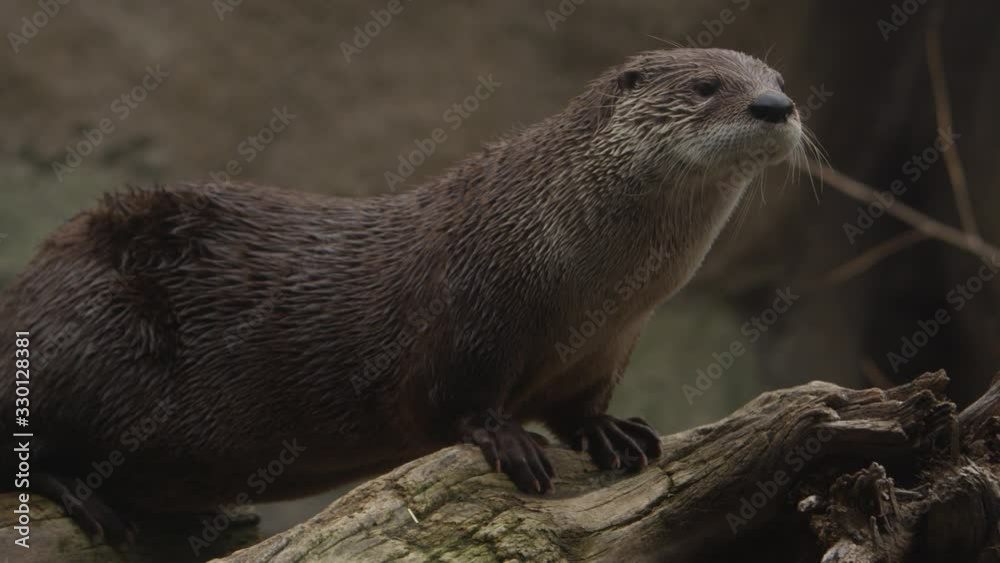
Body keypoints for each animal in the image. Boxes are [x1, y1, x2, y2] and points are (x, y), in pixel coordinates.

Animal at [0, 48, 803, 544]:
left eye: (777, 77)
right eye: (706, 85)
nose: (777, 105)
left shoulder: (606, 346)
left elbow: (580, 405)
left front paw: (611, 433)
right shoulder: (467, 312)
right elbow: (455, 397)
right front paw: (508, 440)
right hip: (92, 328)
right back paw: (83, 497)